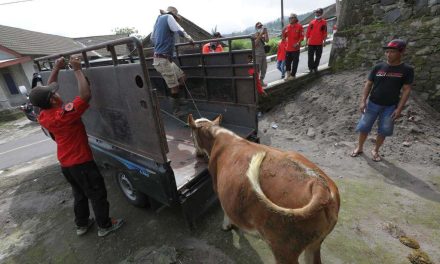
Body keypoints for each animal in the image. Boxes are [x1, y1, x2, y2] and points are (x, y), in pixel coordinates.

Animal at [187, 114, 342, 264]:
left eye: (191, 133)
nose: (197, 154)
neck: (217, 136)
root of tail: (319, 185)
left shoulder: (217, 186)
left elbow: (224, 210)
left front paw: (226, 226)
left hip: (284, 249)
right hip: (315, 243)